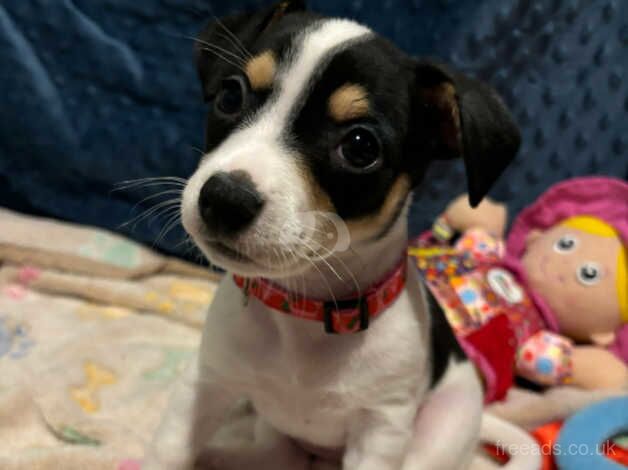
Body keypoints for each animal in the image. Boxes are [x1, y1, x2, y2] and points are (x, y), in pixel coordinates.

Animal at [145, 1, 528, 468]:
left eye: (360, 146)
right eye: (230, 96)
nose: (224, 198)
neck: (307, 310)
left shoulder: (380, 429)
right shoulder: (206, 381)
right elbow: (168, 449)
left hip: (439, 433)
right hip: (273, 435)